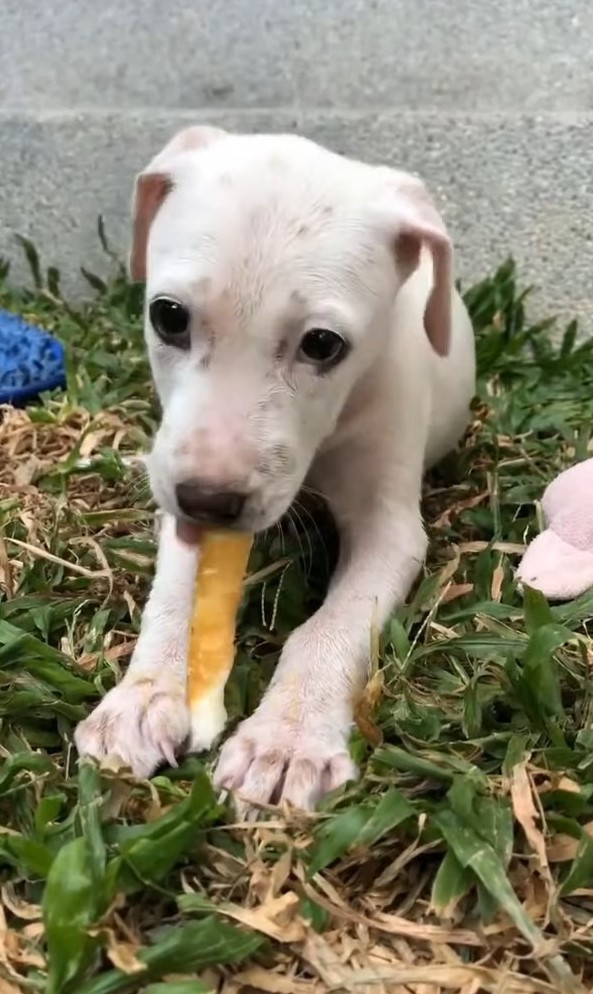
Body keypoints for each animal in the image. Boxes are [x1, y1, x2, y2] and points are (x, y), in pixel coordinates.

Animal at [74, 126, 474, 808]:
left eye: (323, 345)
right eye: (168, 316)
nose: (209, 501)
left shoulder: (389, 528)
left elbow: (330, 627)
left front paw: (287, 739)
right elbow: (175, 595)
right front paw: (144, 696)